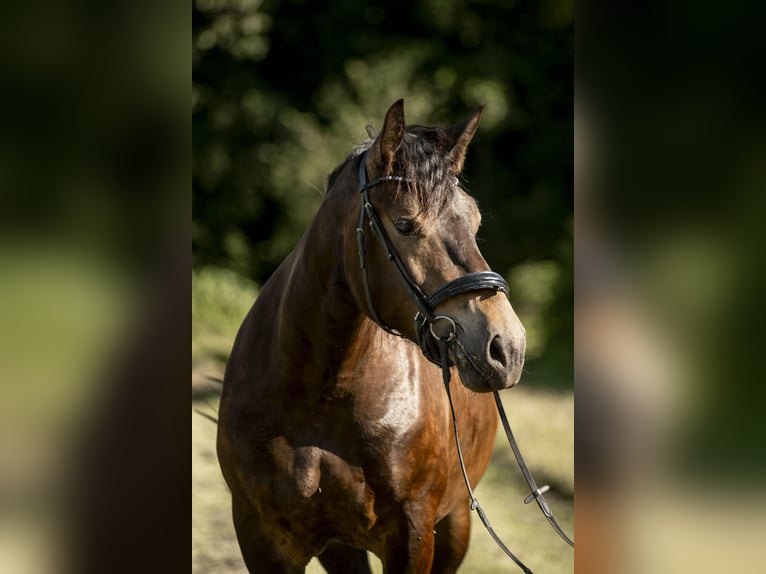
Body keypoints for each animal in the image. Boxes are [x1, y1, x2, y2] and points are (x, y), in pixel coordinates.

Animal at [217, 99, 527, 573]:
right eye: (405, 224)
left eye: (474, 223)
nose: (507, 346)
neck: (320, 398)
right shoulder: (261, 538)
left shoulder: (413, 536)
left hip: (456, 522)